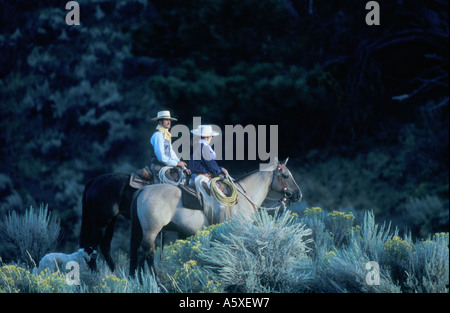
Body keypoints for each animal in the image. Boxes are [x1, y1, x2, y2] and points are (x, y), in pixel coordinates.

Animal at [128, 157, 300, 274]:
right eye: (285, 175)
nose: (299, 195)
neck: (243, 198)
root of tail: (144, 190)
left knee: (147, 254)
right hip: (151, 231)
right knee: (143, 253)